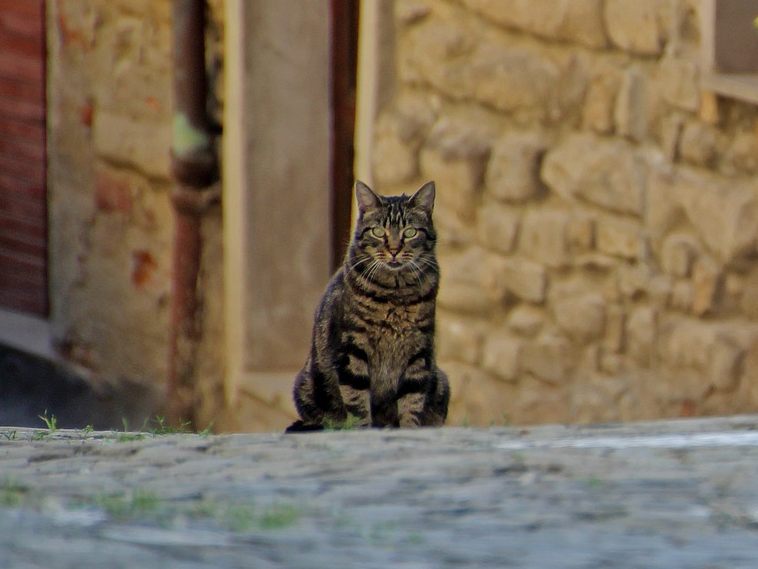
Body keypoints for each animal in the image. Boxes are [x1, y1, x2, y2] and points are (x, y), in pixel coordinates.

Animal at [288, 180, 448, 428]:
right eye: (378, 231)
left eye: (410, 232)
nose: (394, 250)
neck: (396, 293)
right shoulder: (352, 349)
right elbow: (358, 404)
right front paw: (363, 429)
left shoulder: (419, 352)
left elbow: (412, 402)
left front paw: (408, 429)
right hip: (306, 387)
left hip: (440, 382)